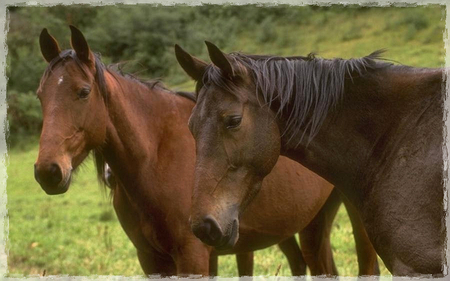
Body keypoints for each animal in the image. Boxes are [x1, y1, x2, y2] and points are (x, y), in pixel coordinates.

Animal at [34, 26, 380, 276]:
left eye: (83, 92)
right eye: (40, 96)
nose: (48, 171)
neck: (156, 157)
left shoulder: (193, 256)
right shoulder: (152, 260)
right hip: (311, 224)